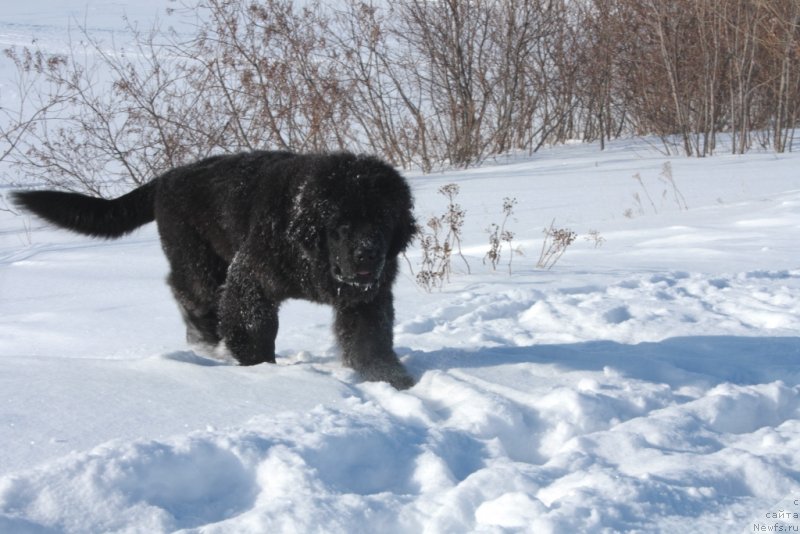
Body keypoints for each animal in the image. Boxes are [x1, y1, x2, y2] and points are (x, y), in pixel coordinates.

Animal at [14, 151, 418, 390]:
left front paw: (392, 380)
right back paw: (204, 343)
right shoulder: (252, 276)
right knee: (190, 293)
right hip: (197, 260)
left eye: (383, 220)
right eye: (341, 225)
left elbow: (370, 341)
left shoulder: (365, 299)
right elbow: (253, 327)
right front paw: (262, 369)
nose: (367, 255)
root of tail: (167, 178)